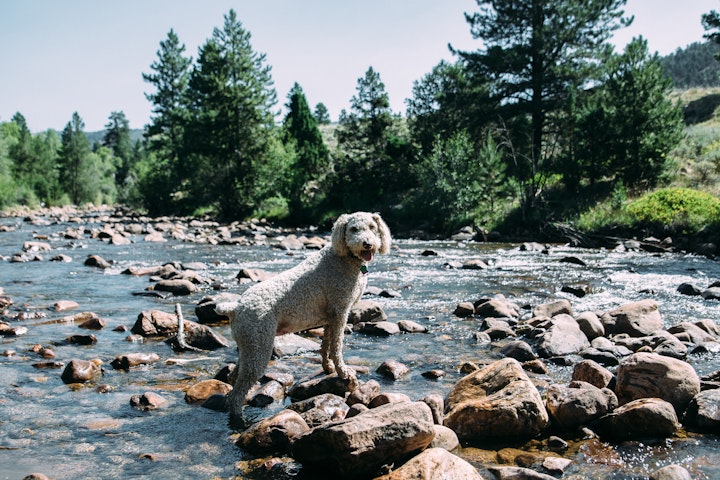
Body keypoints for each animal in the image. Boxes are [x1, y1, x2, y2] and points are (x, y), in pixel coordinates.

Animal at [217, 212, 390, 422]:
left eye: (372, 227)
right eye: (353, 229)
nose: (367, 244)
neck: (345, 258)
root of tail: (235, 307)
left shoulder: (330, 317)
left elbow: (326, 346)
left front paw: (328, 368)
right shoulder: (341, 312)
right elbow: (337, 347)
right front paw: (343, 373)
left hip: (248, 346)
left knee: (233, 377)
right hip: (259, 346)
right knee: (237, 392)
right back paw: (239, 420)